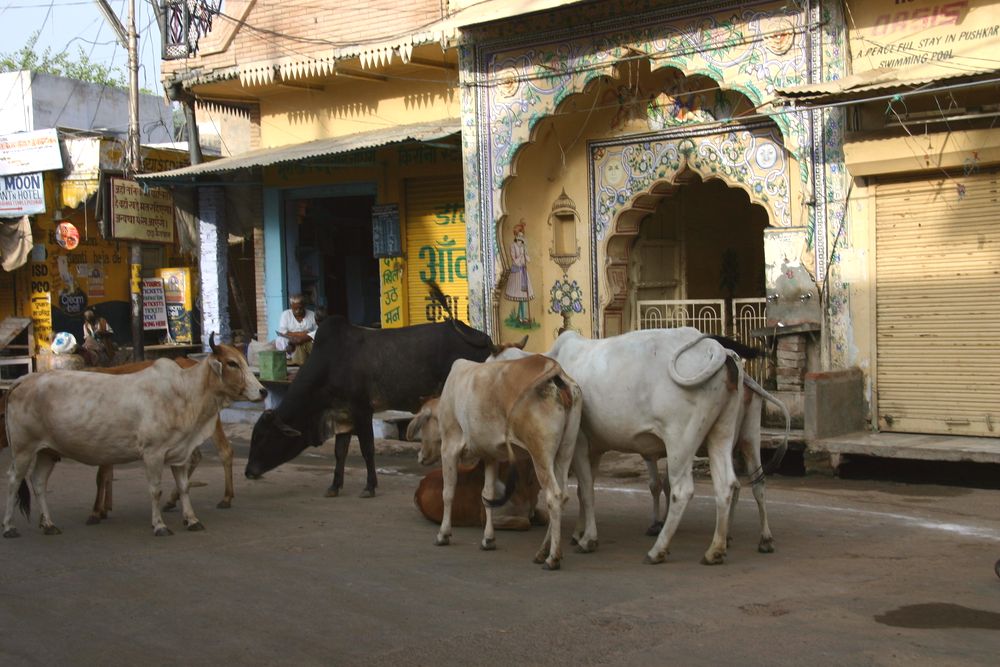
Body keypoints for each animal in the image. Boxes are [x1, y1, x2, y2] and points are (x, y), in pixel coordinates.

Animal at [1, 336, 266, 540]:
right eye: (232, 363)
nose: (263, 391)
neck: (185, 391)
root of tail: (24, 379)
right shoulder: (153, 453)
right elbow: (155, 489)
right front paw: (159, 525)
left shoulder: (179, 453)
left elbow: (184, 487)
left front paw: (191, 520)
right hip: (24, 449)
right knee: (14, 480)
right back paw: (9, 527)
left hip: (47, 451)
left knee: (38, 483)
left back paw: (48, 524)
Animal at [244, 280, 516, 498]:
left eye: (263, 437)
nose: (248, 472)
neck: (330, 364)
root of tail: (485, 340)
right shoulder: (343, 415)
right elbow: (340, 452)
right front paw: (334, 486)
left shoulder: (362, 411)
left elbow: (367, 450)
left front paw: (369, 487)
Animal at [414, 354, 584, 568]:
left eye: (424, 423)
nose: (420, 456)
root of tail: (554, 369)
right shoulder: (490, 455)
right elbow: (487, 495)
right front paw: (488, 539)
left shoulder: (449, 448)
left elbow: (448, 492)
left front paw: (443, 534)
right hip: (564, 452)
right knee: (563, 496)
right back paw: (543, 552)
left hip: (540, 454)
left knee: (554, 496)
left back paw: (552, 557)